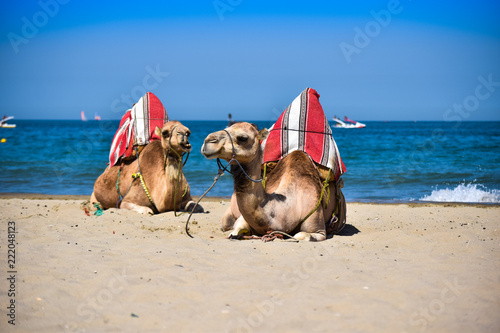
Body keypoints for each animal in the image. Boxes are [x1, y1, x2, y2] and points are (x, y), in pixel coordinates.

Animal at [199, 122, 344, 241]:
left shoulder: (318, 229)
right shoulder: (242, 220)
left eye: (242, 138)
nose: (208, 141)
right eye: (227, 127)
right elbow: (235, 231)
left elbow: (300, 235)